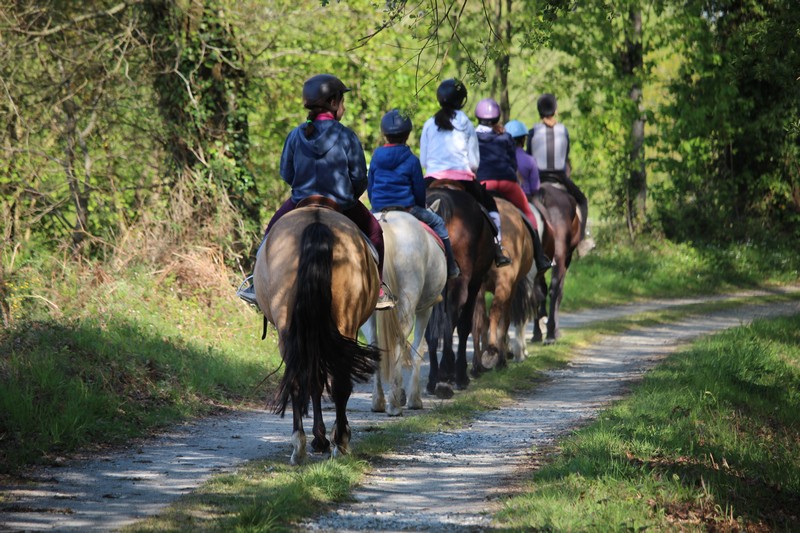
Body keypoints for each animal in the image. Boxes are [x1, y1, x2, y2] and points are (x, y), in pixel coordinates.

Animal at [253, 206, 381, 465]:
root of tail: (317, 219)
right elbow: (318, 381)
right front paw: (323, 439)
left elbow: (314, 382)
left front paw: (319, 438)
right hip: (343, 323)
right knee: (338, 383)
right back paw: (339, 441)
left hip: (290, 331)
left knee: (299, 381)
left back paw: (300, 445)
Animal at [360, 210, 447, 416]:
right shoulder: (426, 309)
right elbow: (419, 349)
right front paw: (414, 399)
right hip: (408, 305)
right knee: (398, 342)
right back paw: (394, 404)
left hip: (370, 314)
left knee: (374, 344)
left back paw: (379, 401)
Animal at [424, 184, 495, 398]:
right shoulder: (474, 283)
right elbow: (463, 326)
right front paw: (458, 373)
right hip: (461, 282)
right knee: (453, 321)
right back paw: (446, 377)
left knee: (431, 329)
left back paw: (434, 379)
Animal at [471, 197, 534, 372]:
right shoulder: (510, 285)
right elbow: (504, 319)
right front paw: (502, 356)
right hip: (505, 283)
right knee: (496, 313)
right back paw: (493, 352)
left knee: (480, 317)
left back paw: (478, 364)